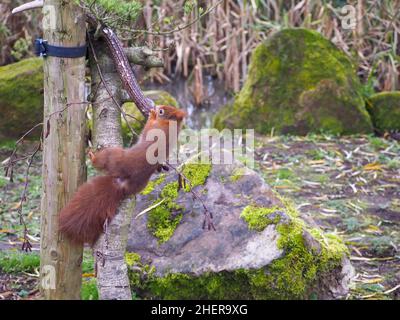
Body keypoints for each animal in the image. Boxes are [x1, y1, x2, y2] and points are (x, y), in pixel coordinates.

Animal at [58, 105, 187, 245]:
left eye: (162, 111)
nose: (155, 107)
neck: (169, 124)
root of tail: (123, 184)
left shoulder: (155, 129)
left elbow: (148, 126)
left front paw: (152, 115)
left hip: (111, 155)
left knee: (100, 161)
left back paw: (92, 156)